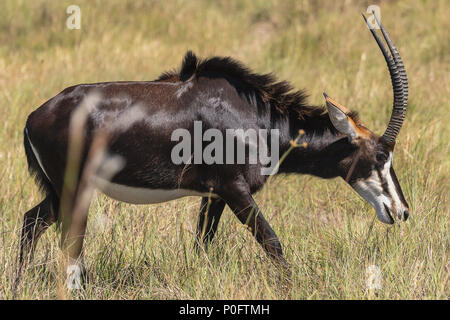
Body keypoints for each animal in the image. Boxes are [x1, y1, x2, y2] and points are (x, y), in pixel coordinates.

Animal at [20, 14, 408, 288]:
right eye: (379, 157)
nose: (401, 212)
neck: (256, 117)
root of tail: (33, 118)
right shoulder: (233, 189)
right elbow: (272, 242)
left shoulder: (213, 195)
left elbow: (201, 246)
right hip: (75, 189)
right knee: (69, 243)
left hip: (60, 192)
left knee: (31, 222)